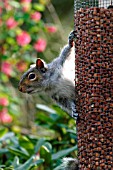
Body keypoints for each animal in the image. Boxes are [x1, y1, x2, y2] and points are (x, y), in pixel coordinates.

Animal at [18, 30, 78, 170]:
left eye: (32, 76)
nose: (20, 88)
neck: (50, 83)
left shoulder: (60, 65)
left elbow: (66, 53)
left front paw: (71, 41)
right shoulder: (58, 96)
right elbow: (66, 103)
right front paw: (73, 111)